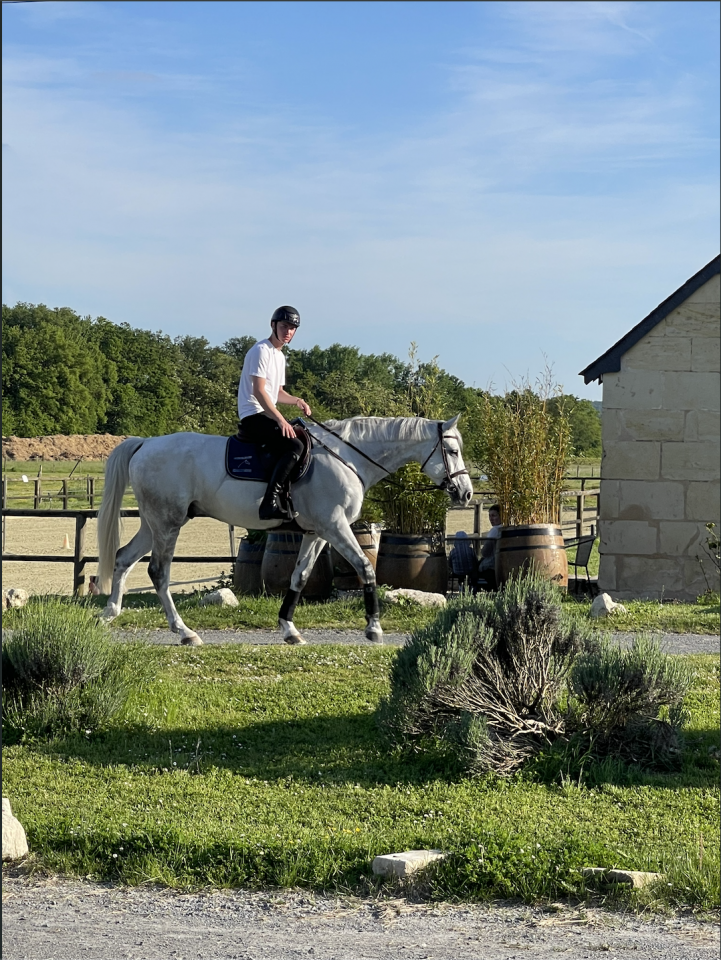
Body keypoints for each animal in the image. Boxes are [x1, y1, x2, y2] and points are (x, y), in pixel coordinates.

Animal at [96, 415, 474, 645]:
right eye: (452, 450)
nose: (466, 493)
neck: (347, 458)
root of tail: (146, 444)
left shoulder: (317, 532)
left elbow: (300, 576)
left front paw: (289, 629)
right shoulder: (336, 527)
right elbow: (366, 568)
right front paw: (374, 628)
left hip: (154, 524)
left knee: (123, 558)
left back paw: (110, 613)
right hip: (167, 523)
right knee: (158, 572)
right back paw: (184, 632)